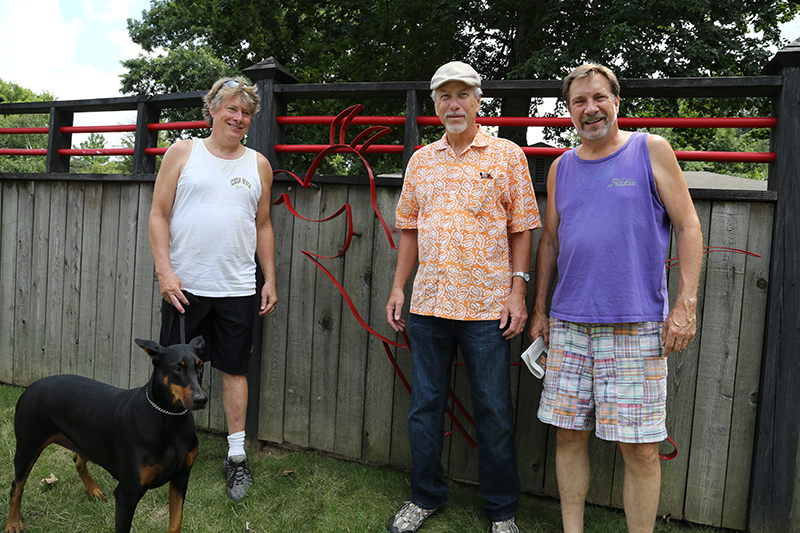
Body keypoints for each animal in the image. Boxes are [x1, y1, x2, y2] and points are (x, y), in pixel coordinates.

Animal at [3, 336, 208, 532]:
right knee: (16, 486)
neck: (171, 421)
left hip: (87, 439)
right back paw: (13, 523)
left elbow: (175, 523)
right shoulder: (128, 493)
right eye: (176, 368)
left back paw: (92, 489)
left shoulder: (181, 478)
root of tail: (32, 386)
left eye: (200, 366)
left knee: (78, 460)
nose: (201, 399)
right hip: (28, 446)